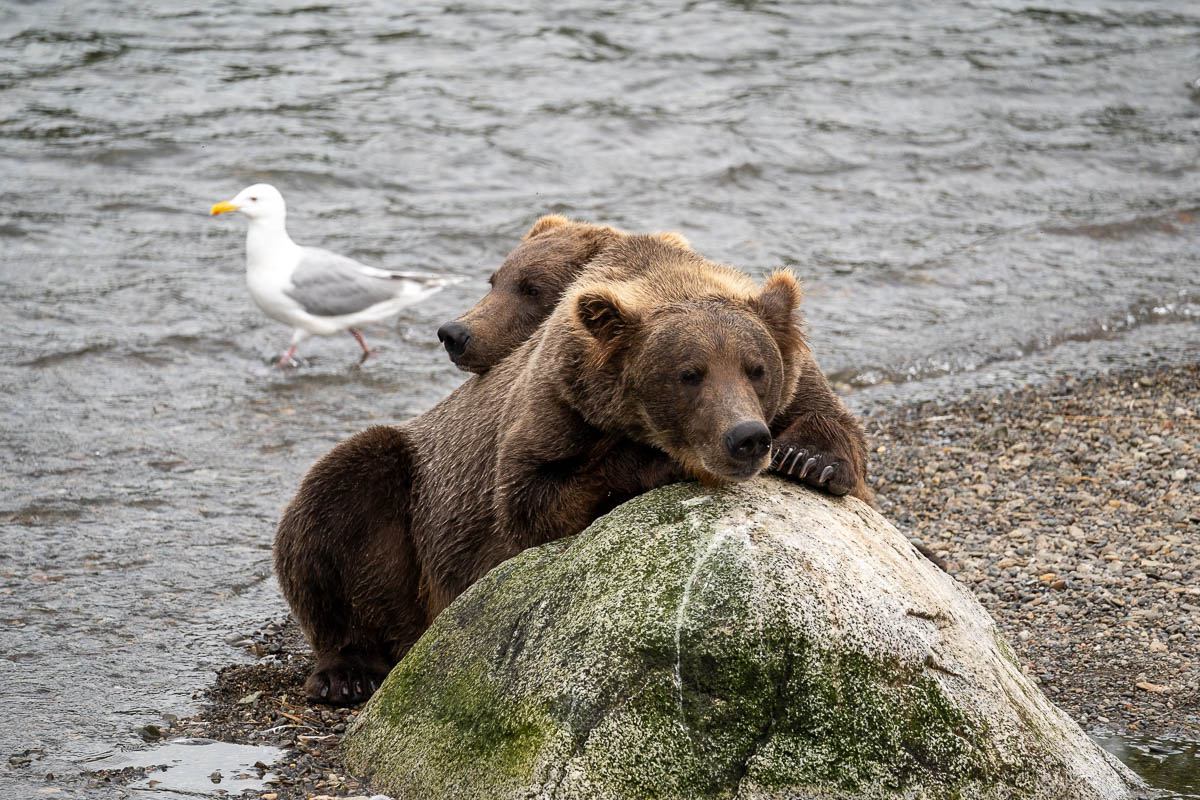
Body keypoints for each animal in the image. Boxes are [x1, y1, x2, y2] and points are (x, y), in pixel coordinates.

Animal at [274, 235, 806, 705]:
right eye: (690, 374)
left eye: (756, 369)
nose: (746, 437)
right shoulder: (551, 405)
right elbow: (531, 501)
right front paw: (658, 462)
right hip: (412, 498)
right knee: (342, 500)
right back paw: (347, 671)